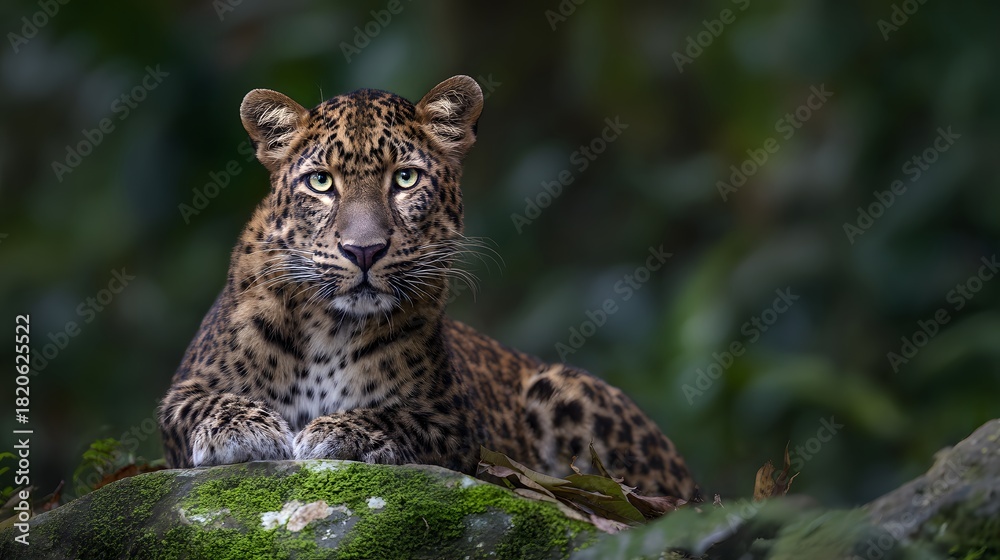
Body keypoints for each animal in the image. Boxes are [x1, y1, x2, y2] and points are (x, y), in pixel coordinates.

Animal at [157, 75, 698, 499]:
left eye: (405, 178)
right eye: (320, 183)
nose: (364, 250)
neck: (331, 328)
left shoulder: (456, 421)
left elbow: (400, 417)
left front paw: (340, 430)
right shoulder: (180, 394)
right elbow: (201, 404)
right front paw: (242, 425)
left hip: (565, 389)